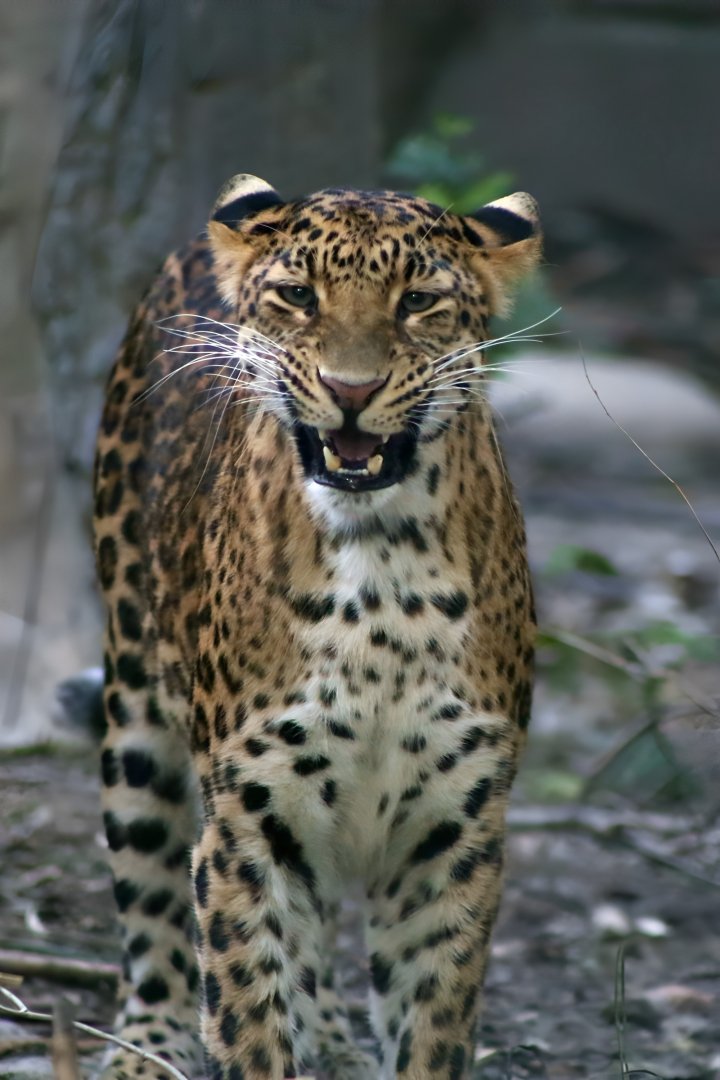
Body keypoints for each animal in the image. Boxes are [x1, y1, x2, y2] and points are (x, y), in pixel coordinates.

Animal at [93, 173, 541, 1080]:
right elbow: (249, 1013)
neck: (382, 570)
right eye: (299, 296)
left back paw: (331, 1037)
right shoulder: (245, 822)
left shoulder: (454, 832)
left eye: (418, 301)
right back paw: (145, 1047)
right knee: (152, 905)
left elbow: (432, 1021)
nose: (352, 390)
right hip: (135, 711)